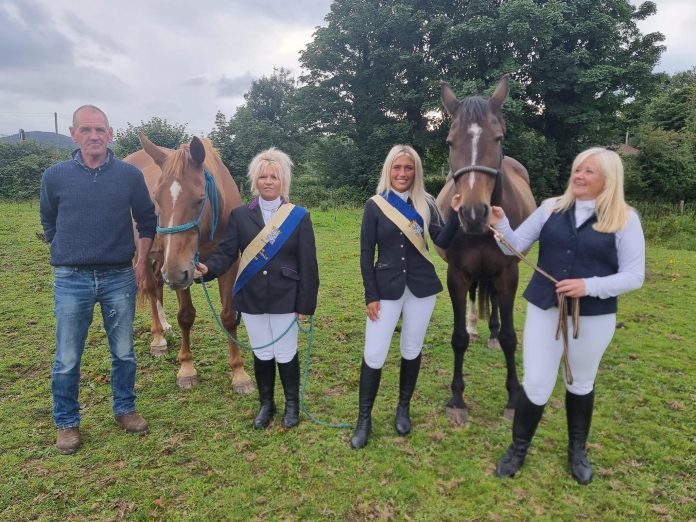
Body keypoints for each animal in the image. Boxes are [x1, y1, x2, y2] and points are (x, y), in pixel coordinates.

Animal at [126, 134, 254, 390]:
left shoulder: (227, 264)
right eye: (156, 199)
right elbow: (186, 316)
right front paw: (186, 369)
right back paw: (158, 338)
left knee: (157, 286)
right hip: (149, 256)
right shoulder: (179, 268)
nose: (175, 274)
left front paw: (239, 372)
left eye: (199, 199)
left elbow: (228, 316)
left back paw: (164, 326)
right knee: (150, 288)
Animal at [436, 74, 540, 422]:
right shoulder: (456, 275)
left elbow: (510, 337)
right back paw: (476, 328)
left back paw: (492, 334)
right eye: (450, 142)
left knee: (493, 301)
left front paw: (513, 399)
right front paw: (457, 399)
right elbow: (457, 339)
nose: (472, 213)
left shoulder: (508, 274)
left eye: (498, 137)